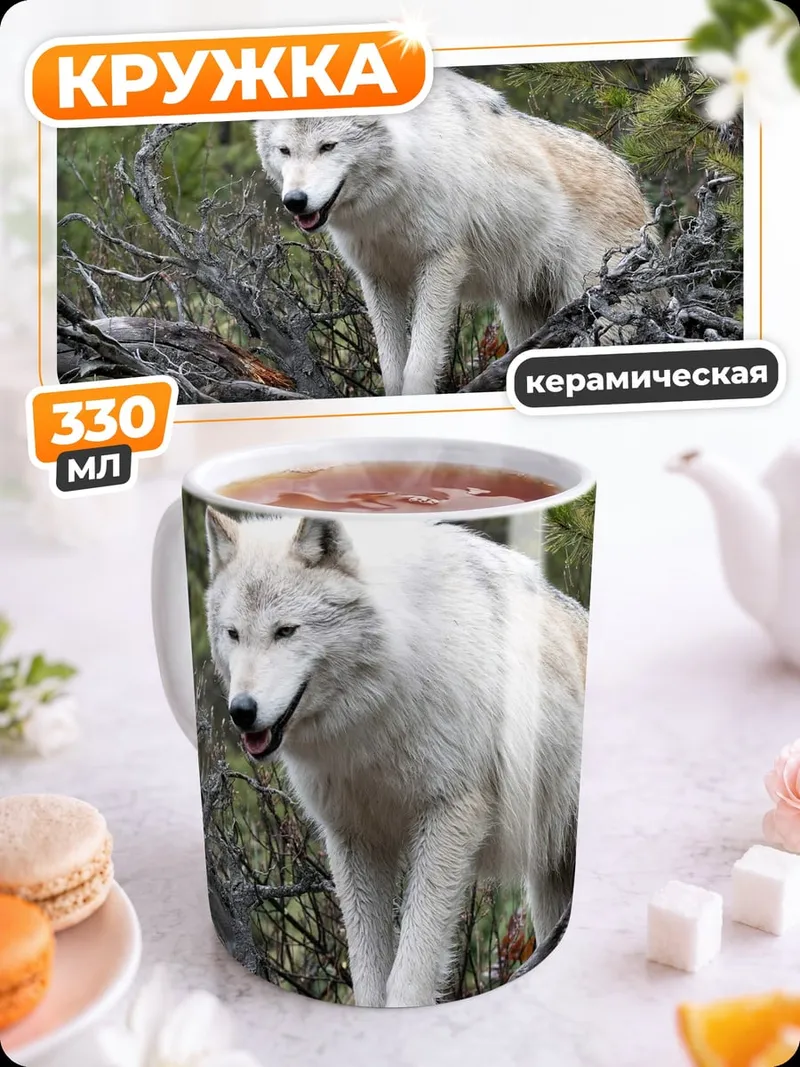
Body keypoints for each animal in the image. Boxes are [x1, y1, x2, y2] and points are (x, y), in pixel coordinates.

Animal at [204, 507, 588, 1008]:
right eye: (233, 633)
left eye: (286, 630)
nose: (241, 711)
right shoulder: (353, 838)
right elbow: (368, 971)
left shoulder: (451, 820)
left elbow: (410, 972)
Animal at [254, 68, 650, 397]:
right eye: (285, 150)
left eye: (328, 146)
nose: (295, 201)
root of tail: (634, 183)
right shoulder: (378, 277)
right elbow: (392, 371)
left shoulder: (441, 265)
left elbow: (418, 366)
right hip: (522, 312)